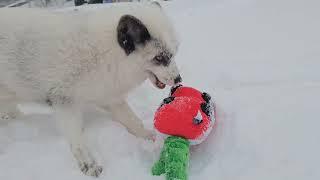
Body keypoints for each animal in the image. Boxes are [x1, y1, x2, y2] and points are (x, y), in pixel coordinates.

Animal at [0, 1, 180, 176]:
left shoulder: (109, 96)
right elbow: (77, 139)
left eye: (173, 53)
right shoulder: (64, 101)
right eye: (159, 58)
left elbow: (133, 121)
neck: (104, 55)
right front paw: (88, 164)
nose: (179, 79)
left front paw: (150, 138)